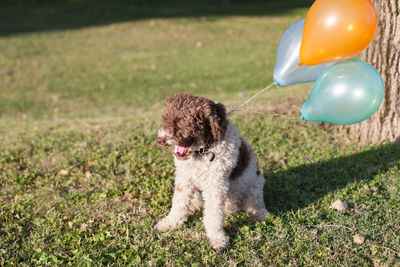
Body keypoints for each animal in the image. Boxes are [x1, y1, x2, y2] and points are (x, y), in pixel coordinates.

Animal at [155, 93, 268, 251]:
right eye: (165, 118)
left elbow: (214, 215)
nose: (160, 139)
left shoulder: (216, 184)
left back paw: (261, 213)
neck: (203, 151)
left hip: (255, 186)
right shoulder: (184, 178)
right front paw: (170, 223)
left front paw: (217, 239)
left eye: (180, 122)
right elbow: (178, 203)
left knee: (255, 203)